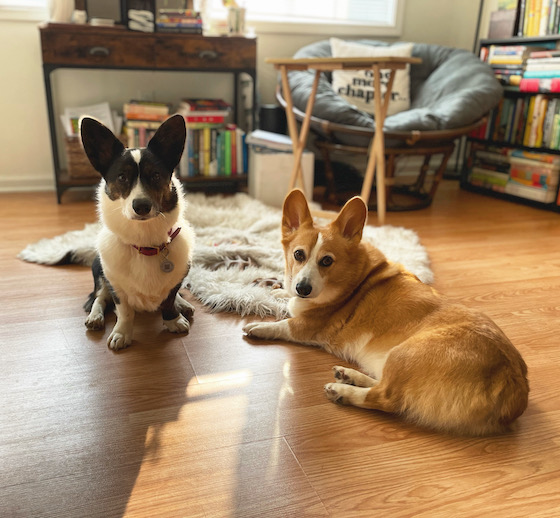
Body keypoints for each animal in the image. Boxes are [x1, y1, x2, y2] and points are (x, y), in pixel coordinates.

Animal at [79, 112, 195, 350]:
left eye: (156, 176)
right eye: (122, 177)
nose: (141, 206)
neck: (145, 243)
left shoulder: (178, 277)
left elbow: (170, 298)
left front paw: (173, 319)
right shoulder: (116, 285)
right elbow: (124, 311)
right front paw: (122, 333)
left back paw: (183, 304)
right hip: (98, 269)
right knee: (99, 296)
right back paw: (95, 316)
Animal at [243, 189, 528, 436]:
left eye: (327, 261)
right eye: (298, 255)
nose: (303, 288)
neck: (352, 278)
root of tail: (514, 385)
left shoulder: (305, 326)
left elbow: (282, 324)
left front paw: (258, 326)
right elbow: (283, 298)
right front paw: (271, 290)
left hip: (404, 354)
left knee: (386, 397)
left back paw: (343, 391)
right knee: (382, 384)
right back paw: (349, 376)